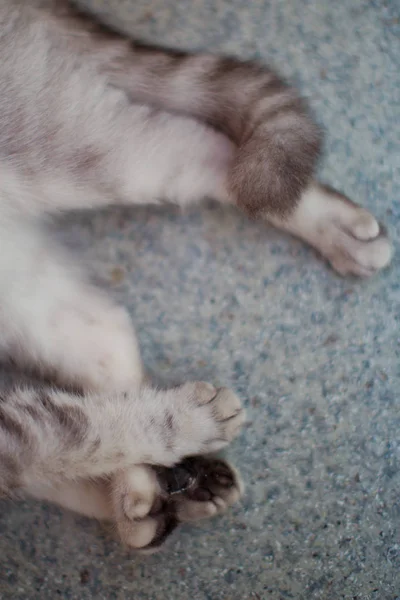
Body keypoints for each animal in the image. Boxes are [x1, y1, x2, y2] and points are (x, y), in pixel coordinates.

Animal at [0, 0, 392, 552]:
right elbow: (62, 444)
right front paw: (150, 469)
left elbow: (67, 438)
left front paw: (181, 426)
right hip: (18, 281)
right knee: (103, 338)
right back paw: (148, 485)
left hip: (57, 146)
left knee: (213, 154)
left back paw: (332, 226)